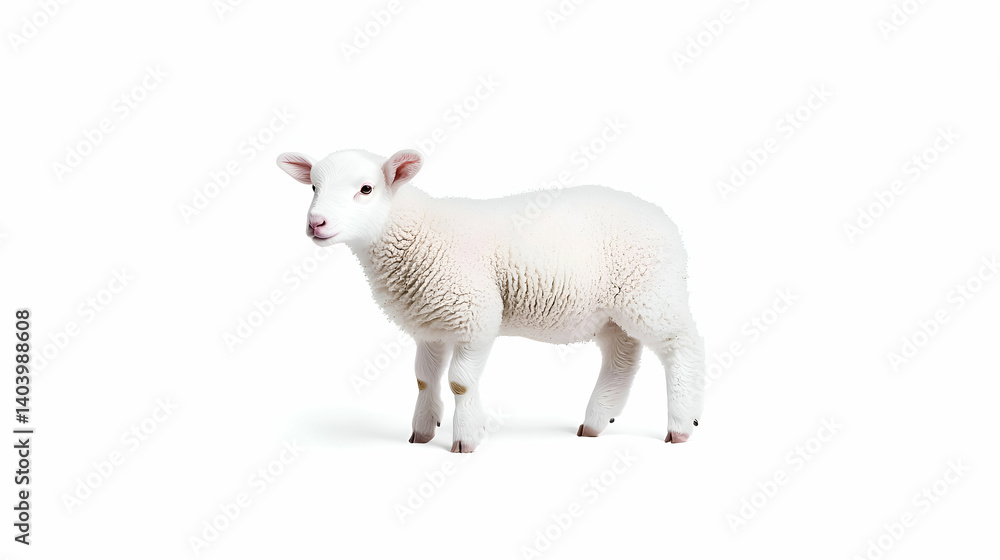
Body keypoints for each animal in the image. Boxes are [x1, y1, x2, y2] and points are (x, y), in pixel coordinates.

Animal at [277, 148, 705, 453]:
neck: (418, 232)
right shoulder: (429, 323)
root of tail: (667, 222)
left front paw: (465, 438)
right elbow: (423, 378)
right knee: (622, 357)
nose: (315, 223)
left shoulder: (475, 316)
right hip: (611, 310)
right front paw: (422, 431)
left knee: (683, 346)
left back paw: (681, 426)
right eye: (313, 187)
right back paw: (596, 422)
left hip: (650, 292)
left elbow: (460, 383)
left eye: (366, 189)